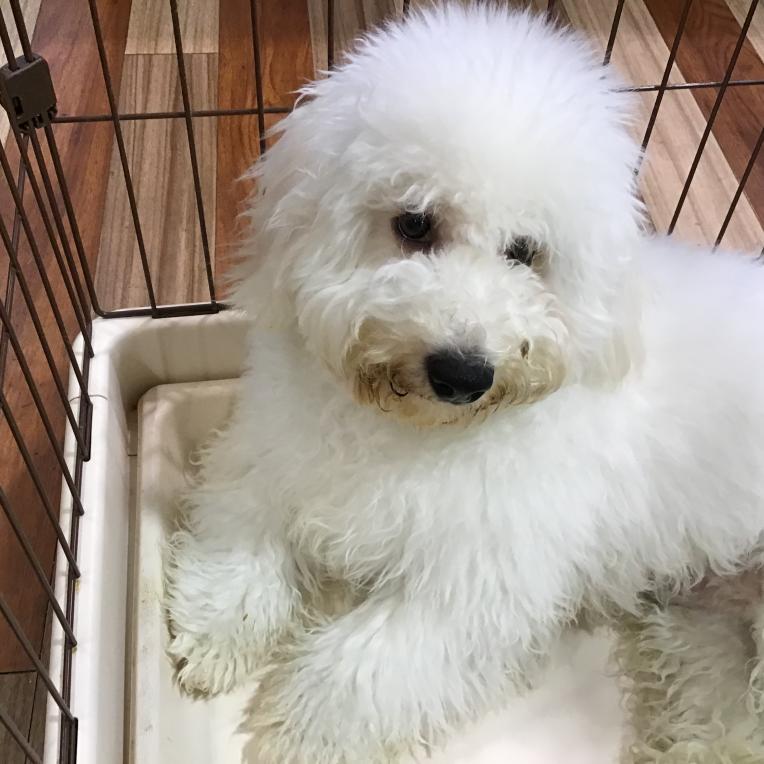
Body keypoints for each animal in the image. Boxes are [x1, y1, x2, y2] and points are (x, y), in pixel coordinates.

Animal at [165, 4, 764, 762]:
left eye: (526, 252)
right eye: (414, 223)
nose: (462, 372)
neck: (411, 433)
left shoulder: (472, 589)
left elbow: (361, 670)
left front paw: (297, 736)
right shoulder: (270, 454)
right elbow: (241, 528)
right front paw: (218, 635)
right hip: (706, 625)